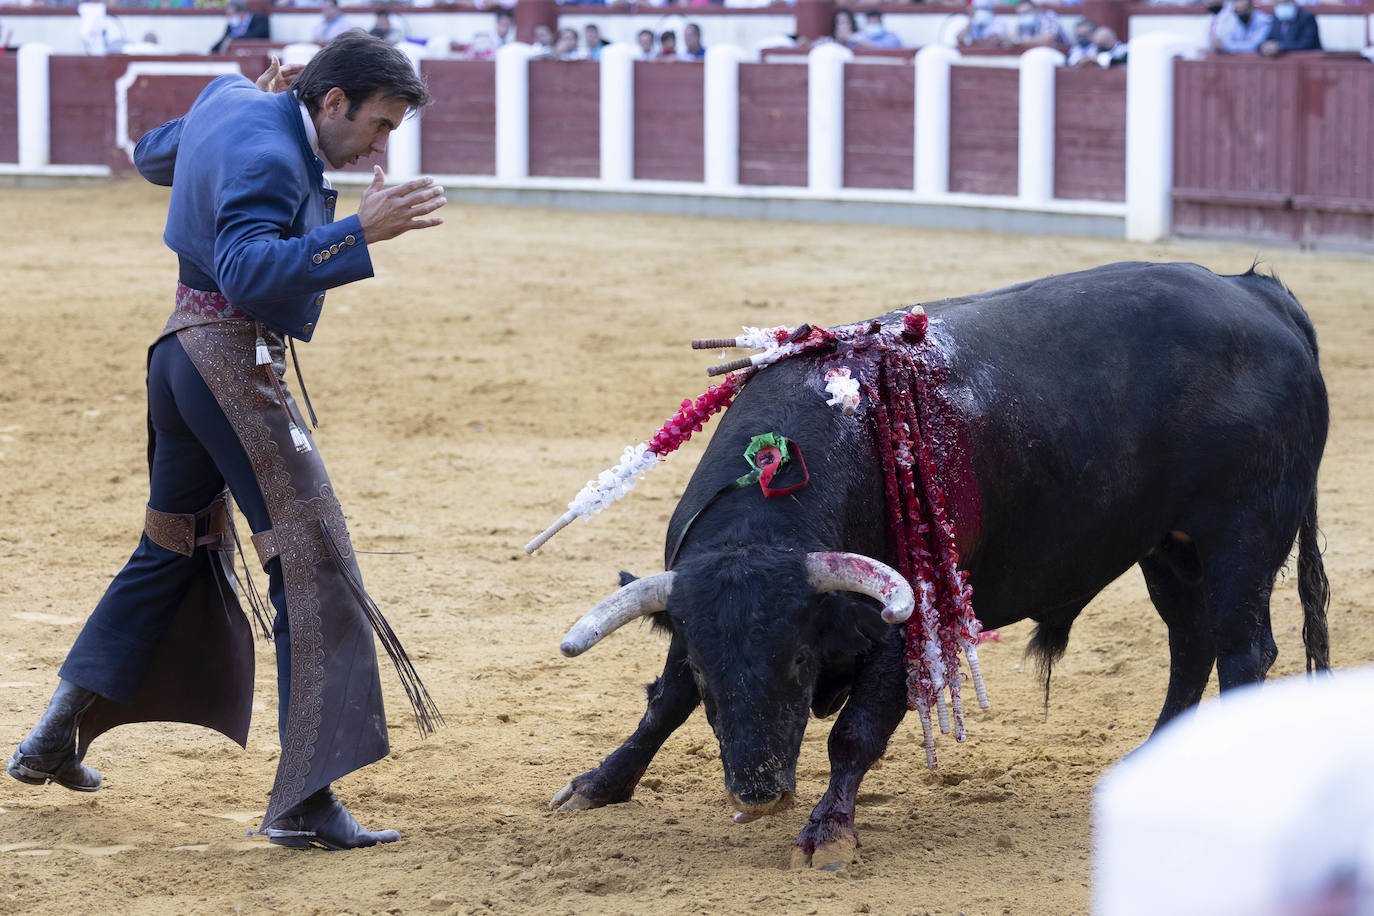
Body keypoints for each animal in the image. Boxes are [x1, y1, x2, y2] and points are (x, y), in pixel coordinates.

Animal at [546, 263, 1330, 867]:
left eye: (799, 662)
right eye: (711, 673)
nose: (759, 794)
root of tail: (1257, 294)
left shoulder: (906, 628)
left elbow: (853, 732)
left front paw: (827, 835)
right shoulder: (694, 616)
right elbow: (664, 703)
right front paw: (597, 785)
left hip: (1240, 540)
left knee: (1243, 650)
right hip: (1168, 547)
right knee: (1190, 645)